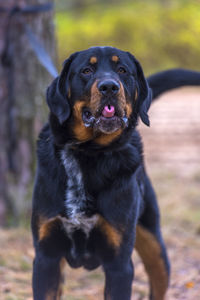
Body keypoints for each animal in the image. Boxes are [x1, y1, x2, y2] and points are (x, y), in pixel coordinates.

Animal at [31, 45, 200, 298]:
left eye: (122, 70)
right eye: (87, 70)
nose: (109, 86)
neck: (88, 153)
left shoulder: (119, 263)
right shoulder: (46, 257)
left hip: (155, 248)